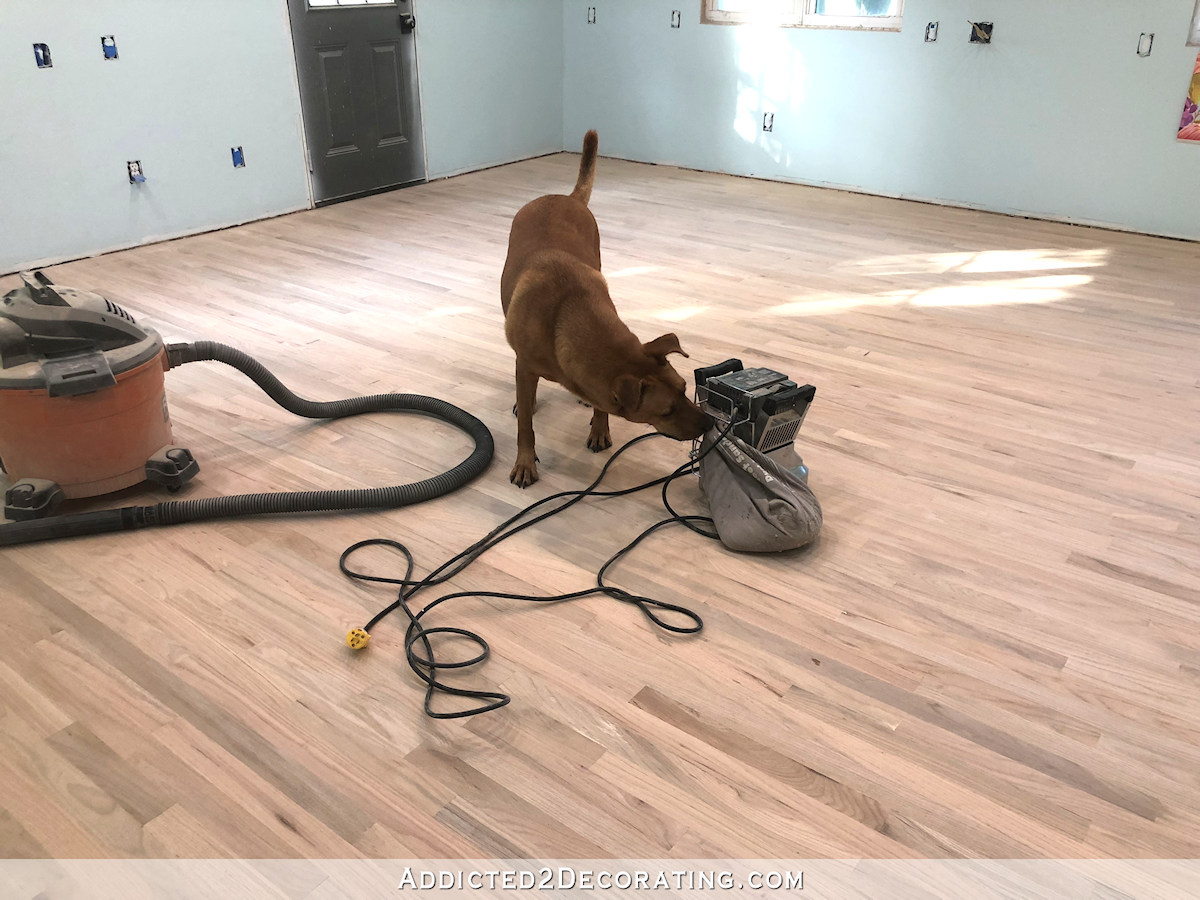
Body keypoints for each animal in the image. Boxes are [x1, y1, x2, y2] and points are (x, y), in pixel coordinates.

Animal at [499, 128, 705, 487]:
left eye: (684, 389)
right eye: (667, 411)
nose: (710, 424)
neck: (566, 314)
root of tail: (566, 197)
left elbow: (601, 403)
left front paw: (599, 427)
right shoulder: (525, 364)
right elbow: (525, 425)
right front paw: (525, 461)